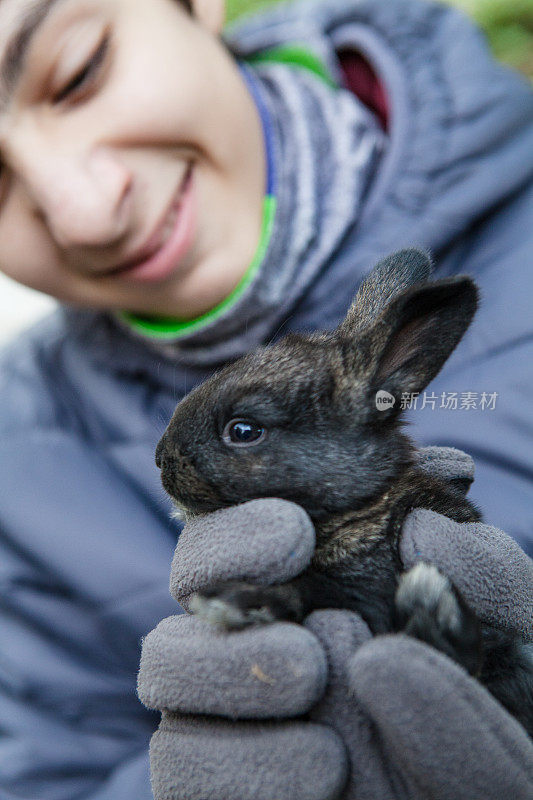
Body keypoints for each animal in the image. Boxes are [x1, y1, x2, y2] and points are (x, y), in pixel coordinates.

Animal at [156, 250, 528, 736]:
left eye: (243, 430)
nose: (160, 459)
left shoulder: (369, 590)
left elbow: (314, 590)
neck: (359, 506)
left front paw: (230, 601)